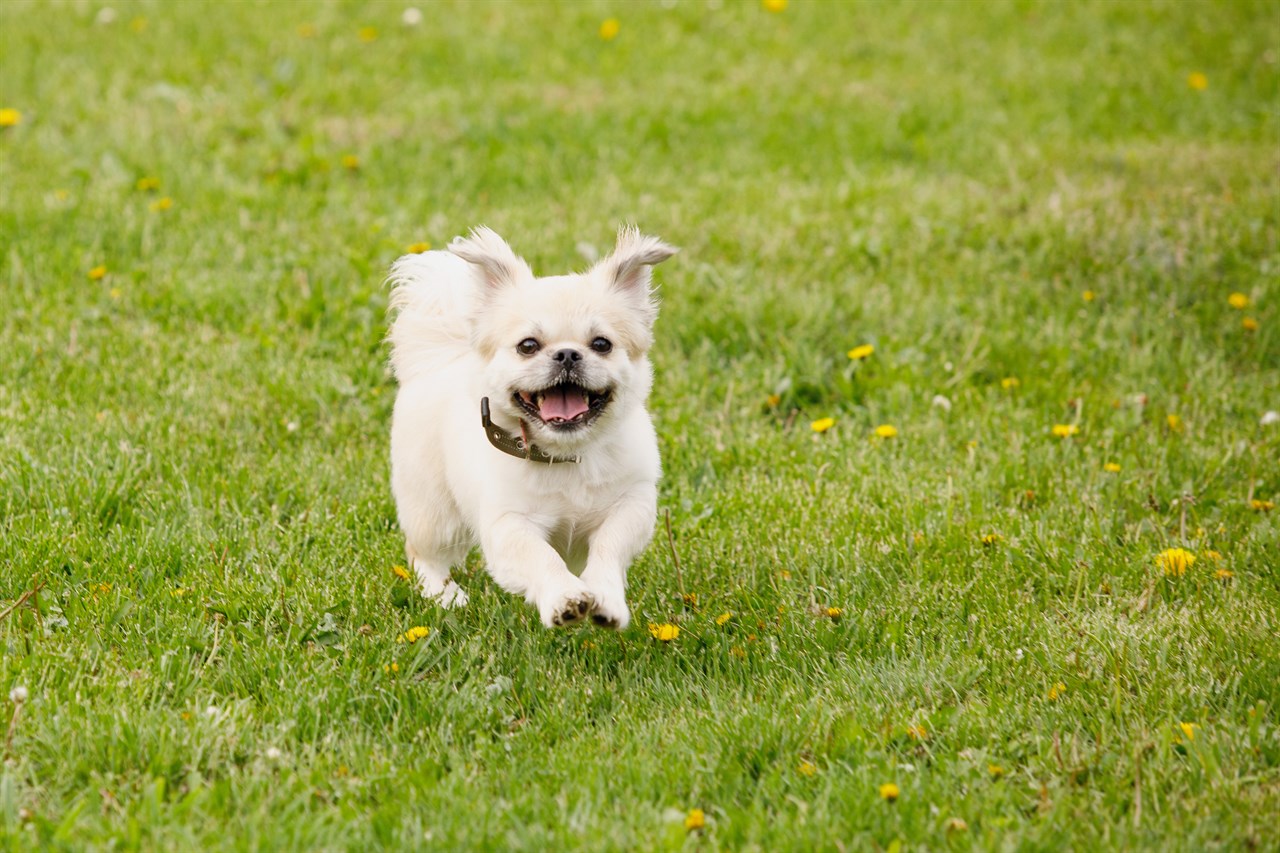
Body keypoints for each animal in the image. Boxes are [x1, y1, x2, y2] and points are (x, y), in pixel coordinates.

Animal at [384, 225, 675, 625]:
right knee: (424, 555)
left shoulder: (632, 505)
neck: (567, 455)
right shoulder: (507, 525)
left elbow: (608, 548)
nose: (567, 354)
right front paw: (564, 598)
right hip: (435, 513)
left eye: (602, 344)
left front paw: (606, 599)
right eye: (527, 346)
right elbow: (542, 557)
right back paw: (445, 596)